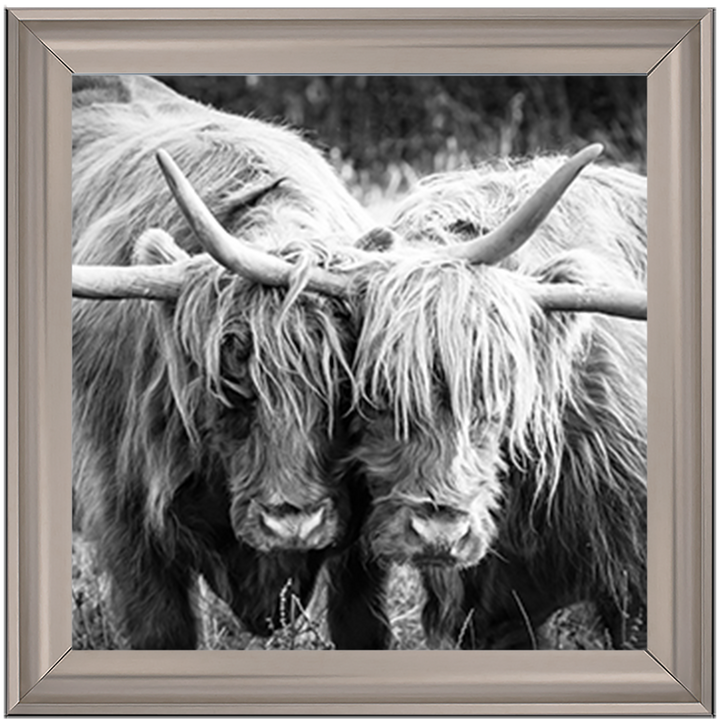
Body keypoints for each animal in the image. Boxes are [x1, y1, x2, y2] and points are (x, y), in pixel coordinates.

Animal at [71, 75, 390, 649]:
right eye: (229, 381)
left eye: (344, 385)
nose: (293, 523)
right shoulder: (125, 523)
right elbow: (161, 632)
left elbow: (362, 624)